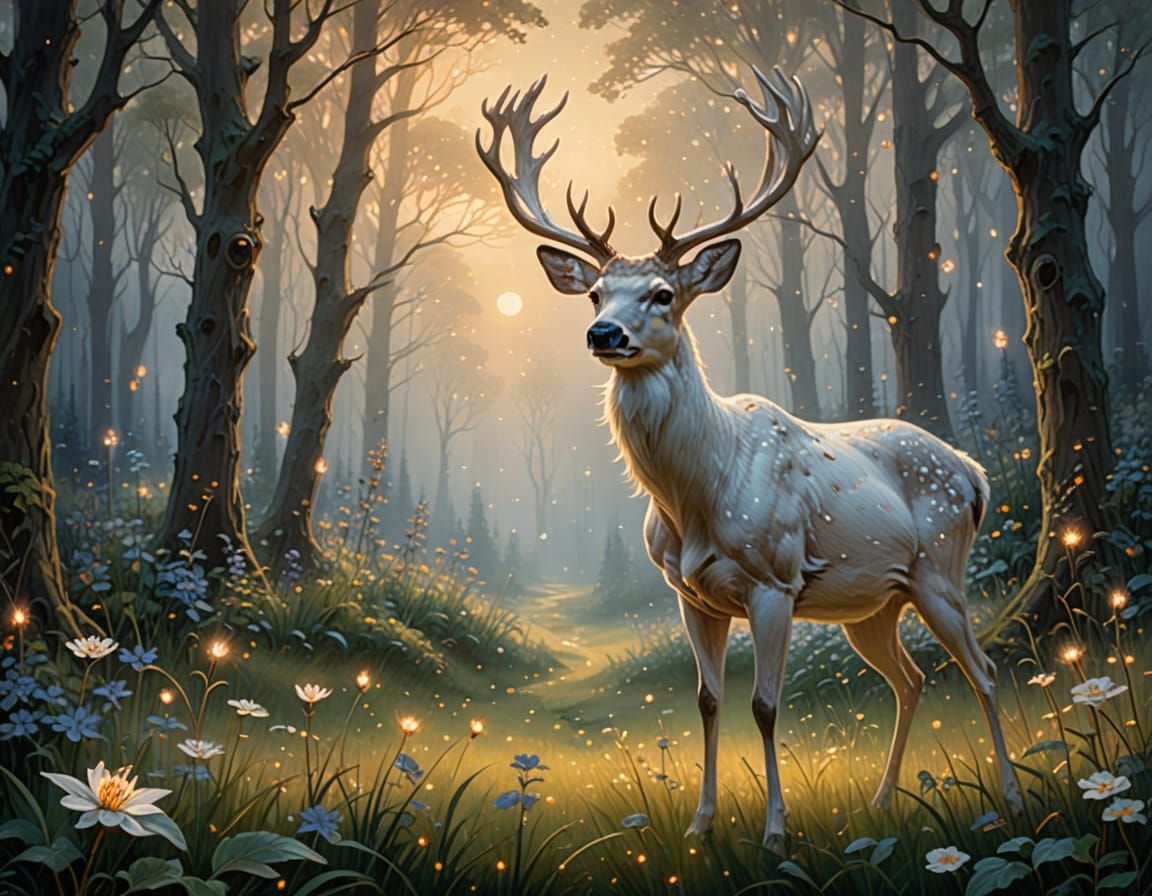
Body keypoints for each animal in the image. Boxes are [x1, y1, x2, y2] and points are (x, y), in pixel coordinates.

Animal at [477, 68, 1024, 852]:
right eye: (595, 291)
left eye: (663, 293)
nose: (603, 333)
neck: (696, 496)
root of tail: (974, 473)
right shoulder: (689, 592)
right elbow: (708, 700)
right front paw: (701, 825)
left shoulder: (775, 578)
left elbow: (766, 704)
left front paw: (773, 834)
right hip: (873, 602)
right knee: (911, 678)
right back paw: (881, 800)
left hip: (940, 568)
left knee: (981, 670)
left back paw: (1008, 797)